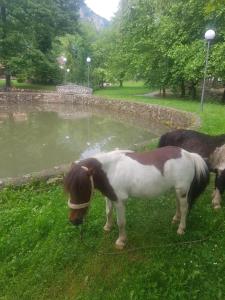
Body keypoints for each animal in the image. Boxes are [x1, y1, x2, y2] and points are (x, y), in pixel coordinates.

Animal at [64, 147, 209, 248]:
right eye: (68, 189)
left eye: (82, 188)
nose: (74, 220)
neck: (110, 170)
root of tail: (190, 155)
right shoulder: (109, 196)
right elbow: (108, 212)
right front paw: (107, 227)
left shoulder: (119, 201)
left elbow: (121, 222)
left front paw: (121, 241)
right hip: (177, 190)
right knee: (179, 204)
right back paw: (176, 219)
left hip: (183, 190)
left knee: (185, 208)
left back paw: (181, 228)